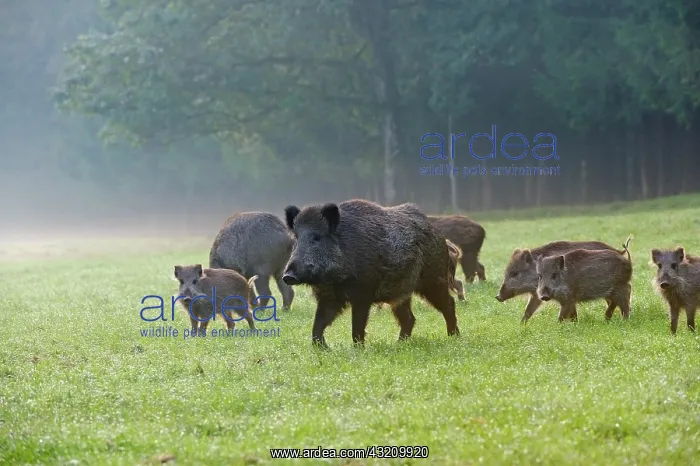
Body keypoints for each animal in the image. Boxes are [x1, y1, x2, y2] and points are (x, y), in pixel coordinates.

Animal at [281, 199, 459, 347]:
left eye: (317, 237)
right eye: (297, 238)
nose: (288, 276)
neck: (335, 278)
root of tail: (439, 235)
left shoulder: (363, 294)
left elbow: (357, 325)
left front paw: (358, 349)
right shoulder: (329, 297)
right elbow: (319, 322)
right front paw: (321, 348)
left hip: (434, 279)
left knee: (448, 303)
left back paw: (454, 337)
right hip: (401, 292)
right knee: (409, 318)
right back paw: (399, 344)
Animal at [496, 238, 632, 322]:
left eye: (514, 273)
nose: (497, 296)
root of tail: (619, 251)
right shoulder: (537, 294)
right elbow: (528, 310)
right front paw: (521, 325)